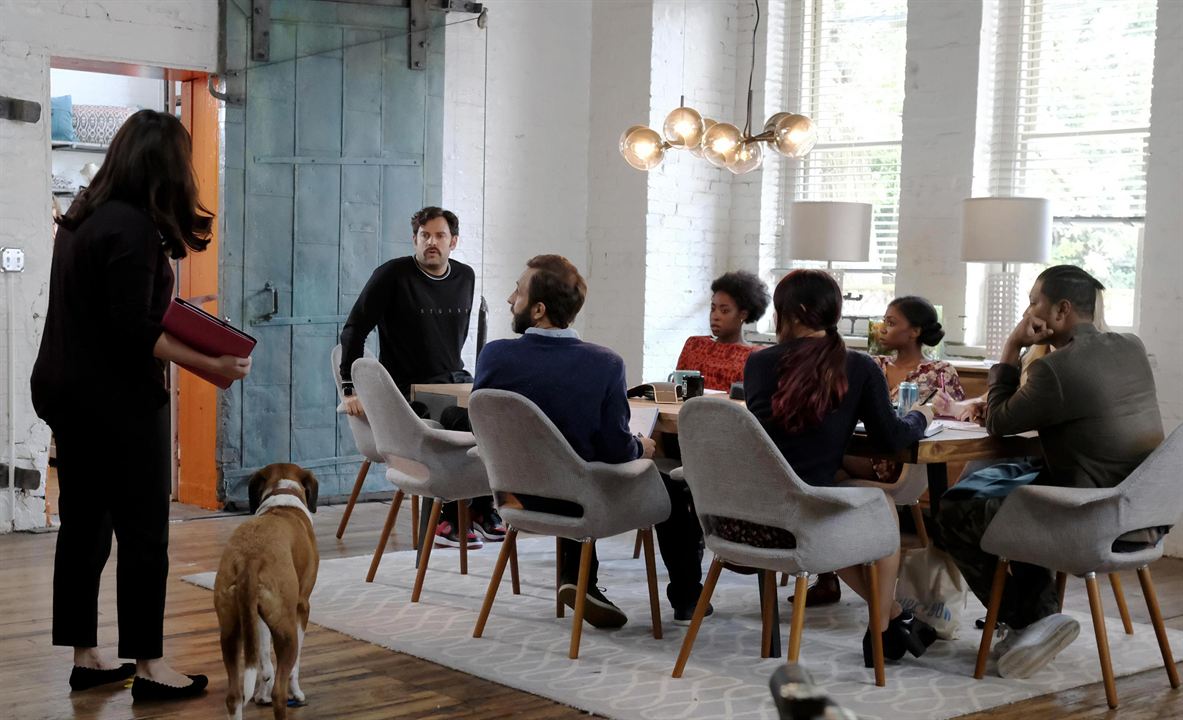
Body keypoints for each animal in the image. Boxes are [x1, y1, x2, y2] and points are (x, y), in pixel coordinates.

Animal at [215, 463, 319, 714]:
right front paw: (297, 693)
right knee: (280, 692)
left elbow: (264, 665)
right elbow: (293, 667)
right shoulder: (302, 607)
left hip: (231, 632)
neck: (282, 497)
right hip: (287, 630)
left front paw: (261, 696)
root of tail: (250, 561)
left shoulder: (258, 619)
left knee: (235, 695)